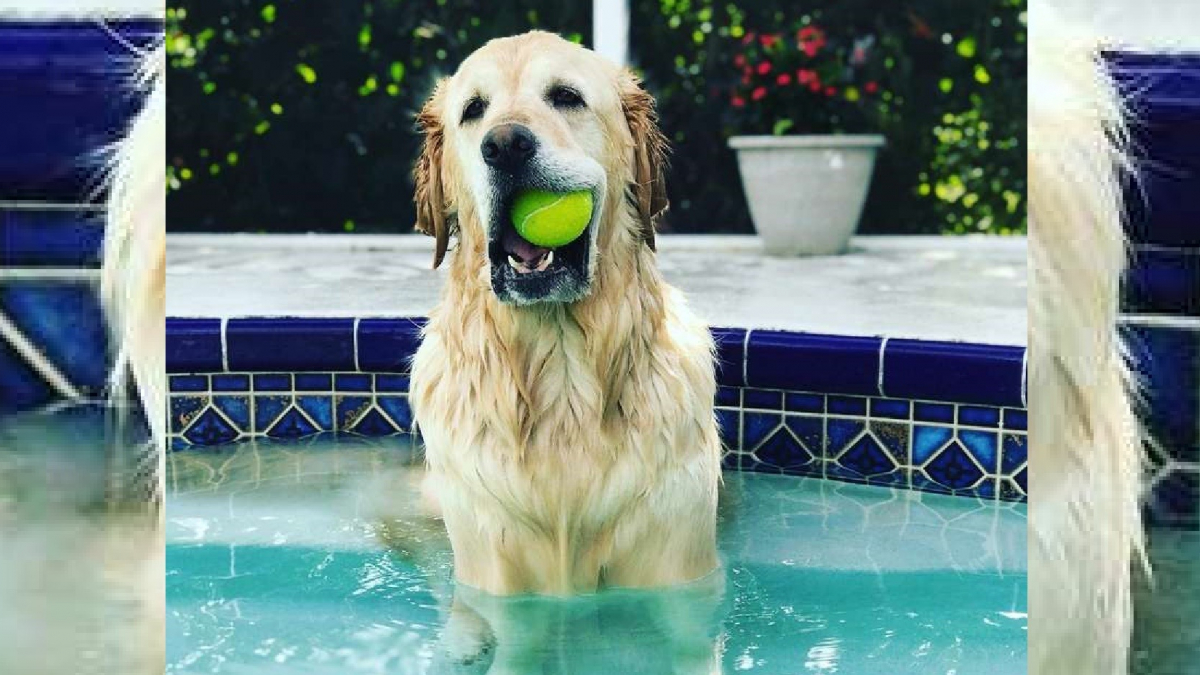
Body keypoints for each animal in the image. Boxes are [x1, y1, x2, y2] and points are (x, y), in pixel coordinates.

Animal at [408, 30, 720, 667]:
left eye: (566, 97)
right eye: (474, 111)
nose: (504, 145)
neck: (563, 378)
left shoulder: (674, 571)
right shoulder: (497, 574)